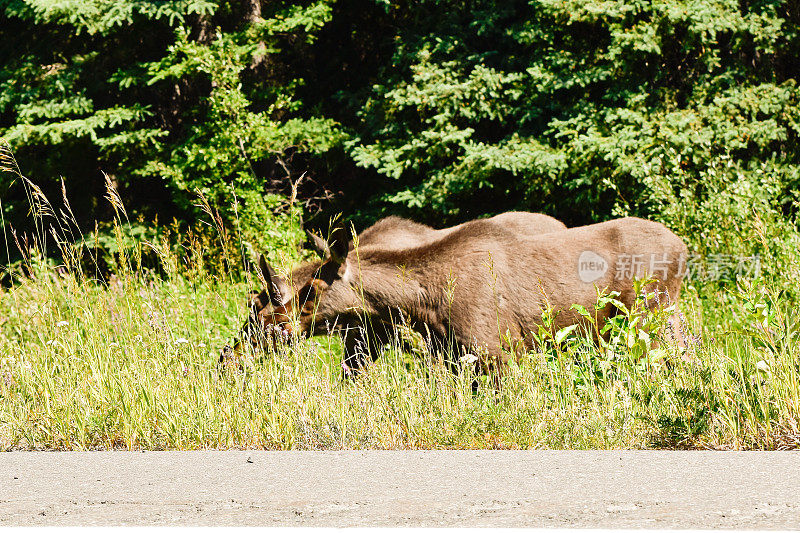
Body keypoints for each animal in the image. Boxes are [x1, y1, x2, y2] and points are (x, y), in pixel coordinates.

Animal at [225, 212, 688, 374]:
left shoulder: (497, 353)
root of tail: (683, 246)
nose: (226, 357)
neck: (423, 304)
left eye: (314, 289)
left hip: (648, 317)